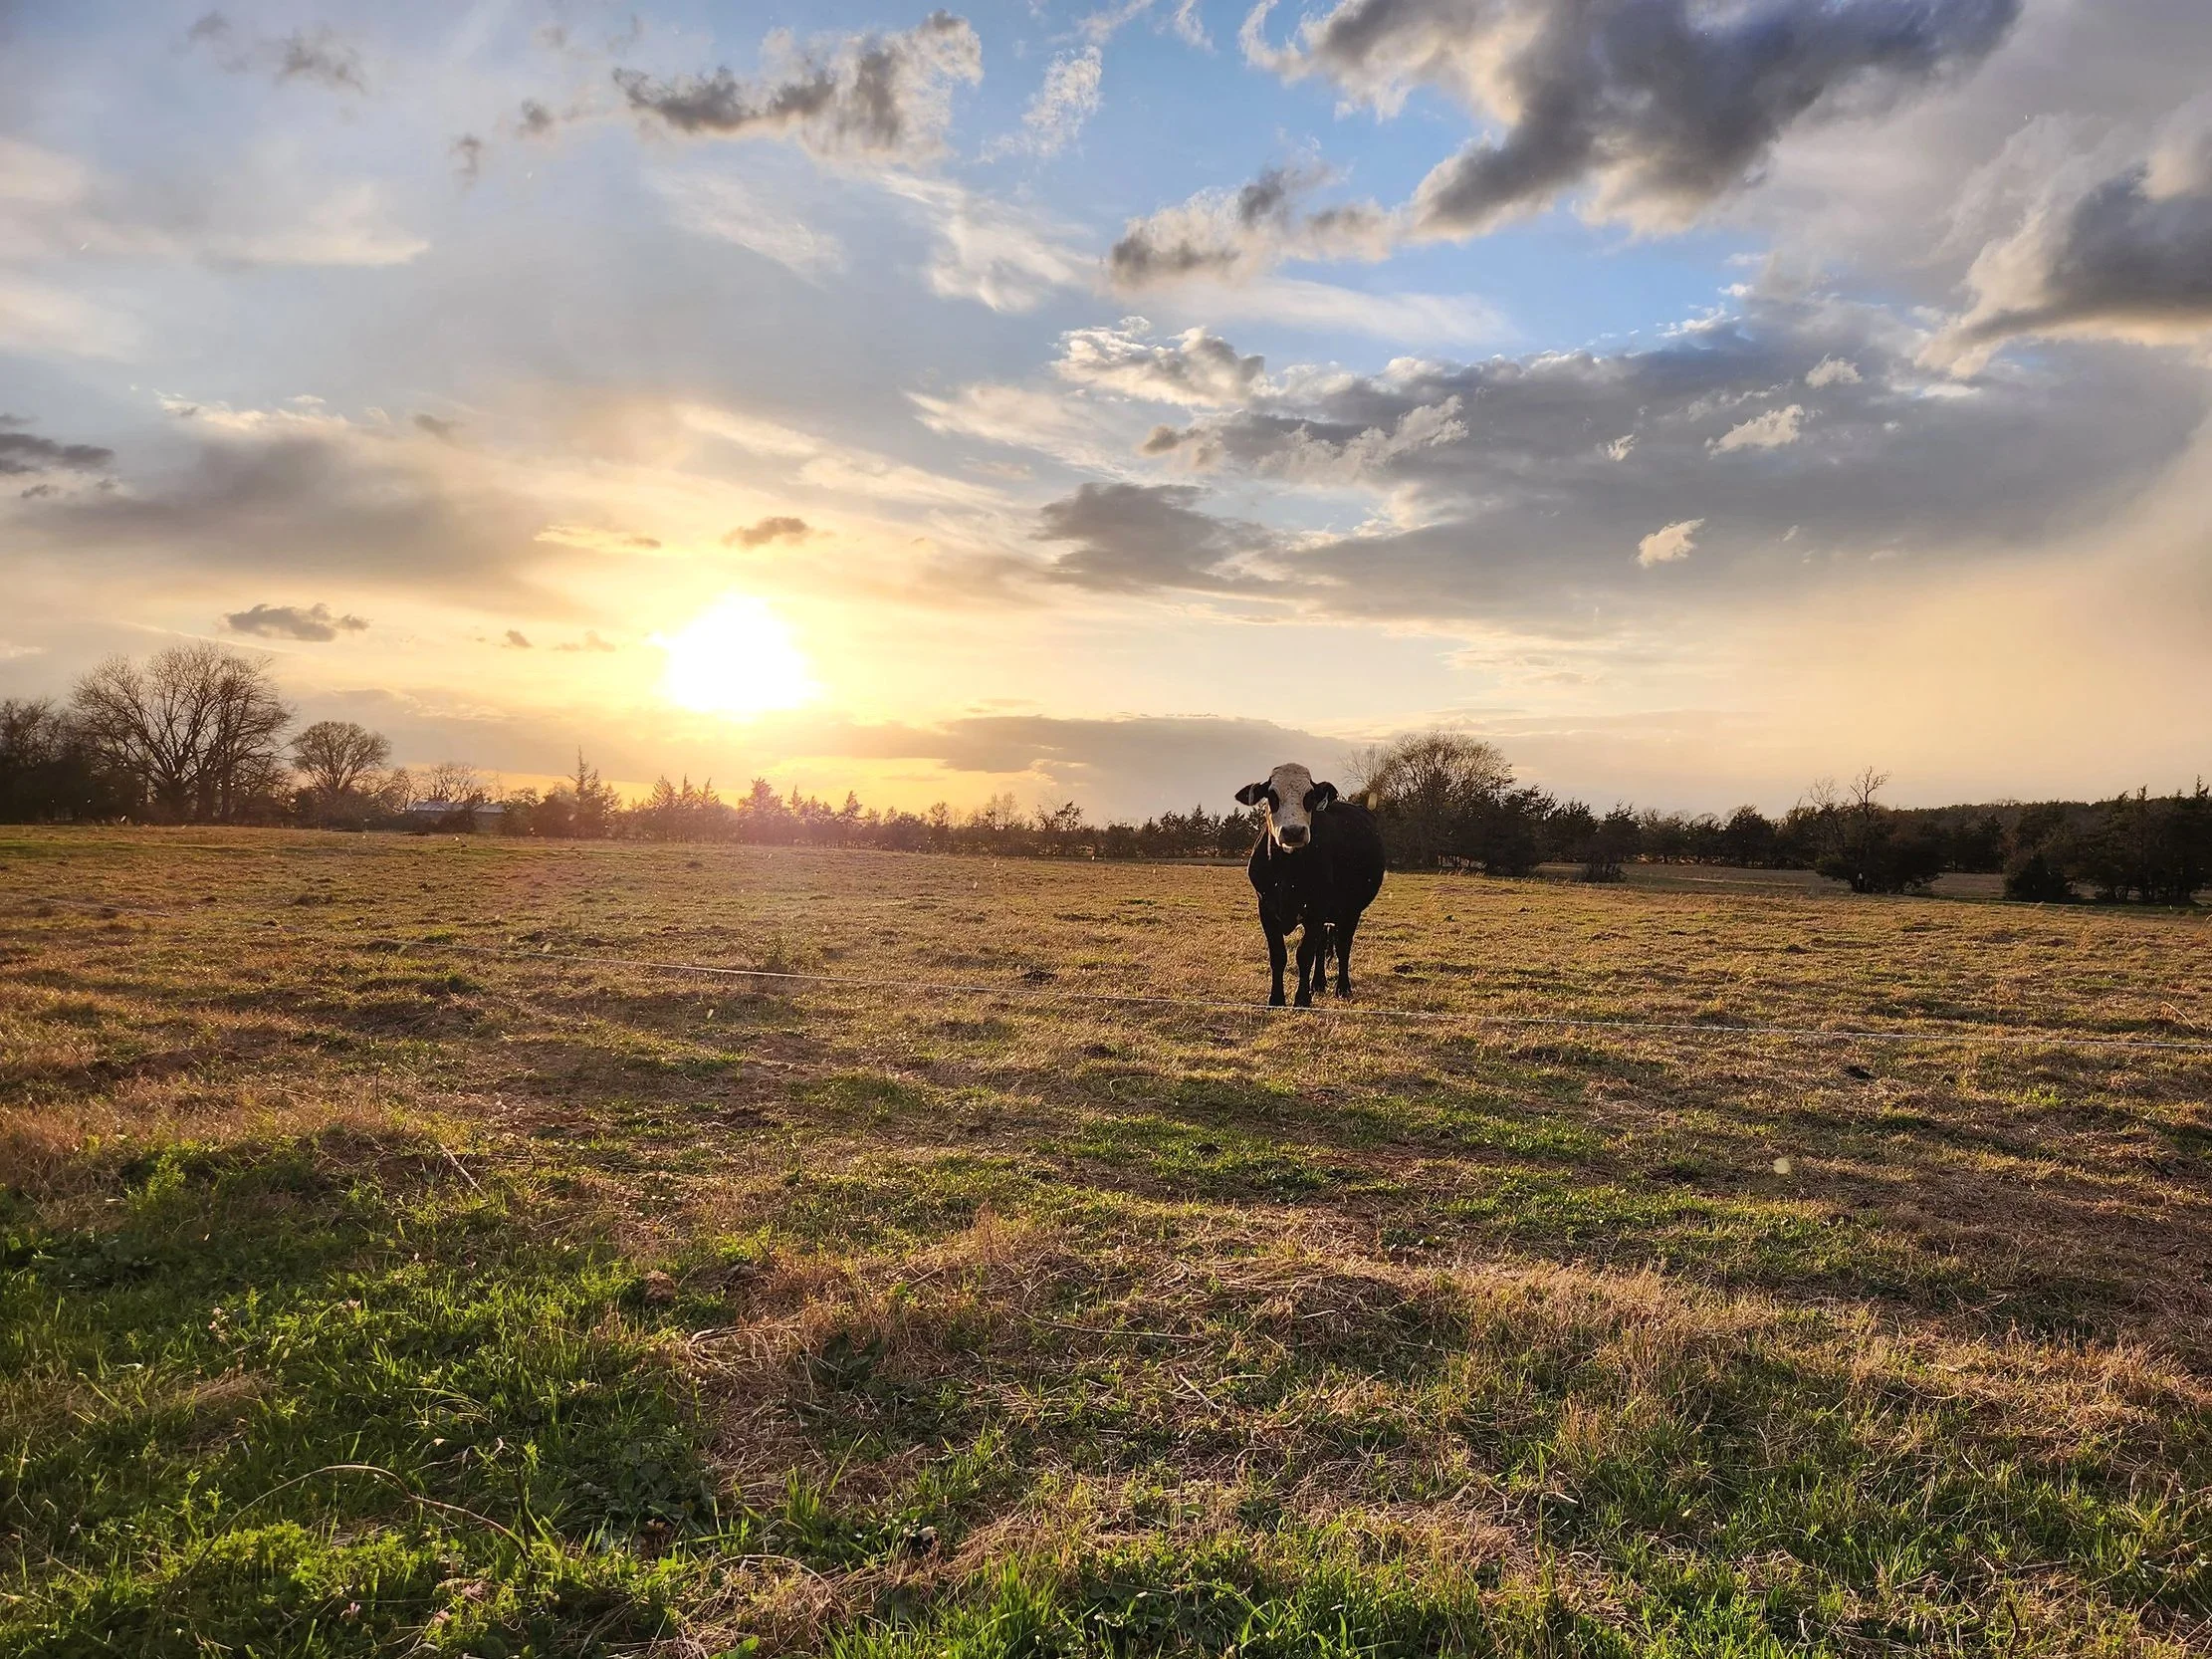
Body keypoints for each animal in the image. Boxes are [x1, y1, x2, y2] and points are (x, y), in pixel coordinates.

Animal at [1234, 761, 1386, 1007]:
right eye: (1272, 795)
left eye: (1310, 796)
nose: (1293, 831)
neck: (1286, 870)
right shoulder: (1265, 908)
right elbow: (1279, 954)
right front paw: (1276, 998)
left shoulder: (1317, 909)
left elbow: (1304, 954)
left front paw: (1302, 999)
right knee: (1322, 945)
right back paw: (1318, 983)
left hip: (1350, 910)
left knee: (1342, 946)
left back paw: (1342, 987)